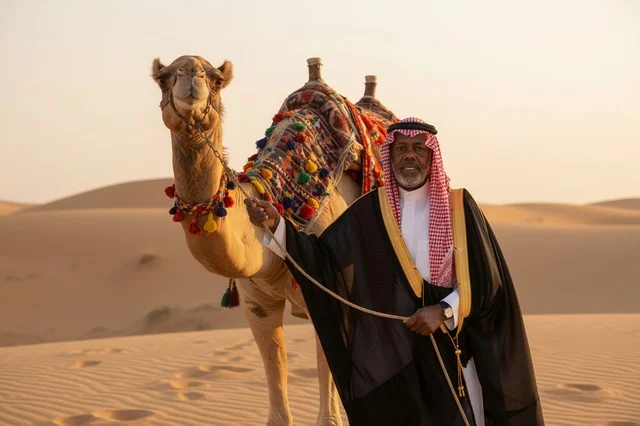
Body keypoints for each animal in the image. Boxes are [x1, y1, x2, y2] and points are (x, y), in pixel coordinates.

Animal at [151, 55, 391, 426]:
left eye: (217, 79)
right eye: (163, 78)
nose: (191, 71)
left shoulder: (328, 291)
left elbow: (329, 414)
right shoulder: (257, 305)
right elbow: (278, 408)